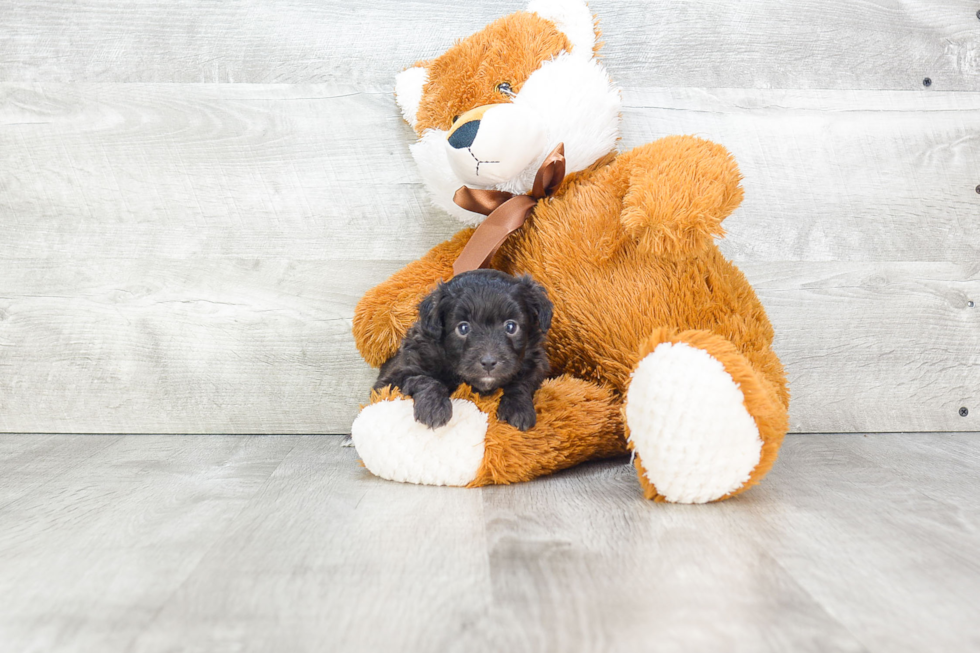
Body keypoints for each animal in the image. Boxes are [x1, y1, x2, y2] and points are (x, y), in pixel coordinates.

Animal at [374, 268, 552, 430]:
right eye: (463, 328)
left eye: (511, 326)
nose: (488, 362)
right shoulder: (392, 379)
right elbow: (424, 379)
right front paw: (434, 408)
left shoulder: (536, 364)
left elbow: (522, 382)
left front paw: (518, 408)